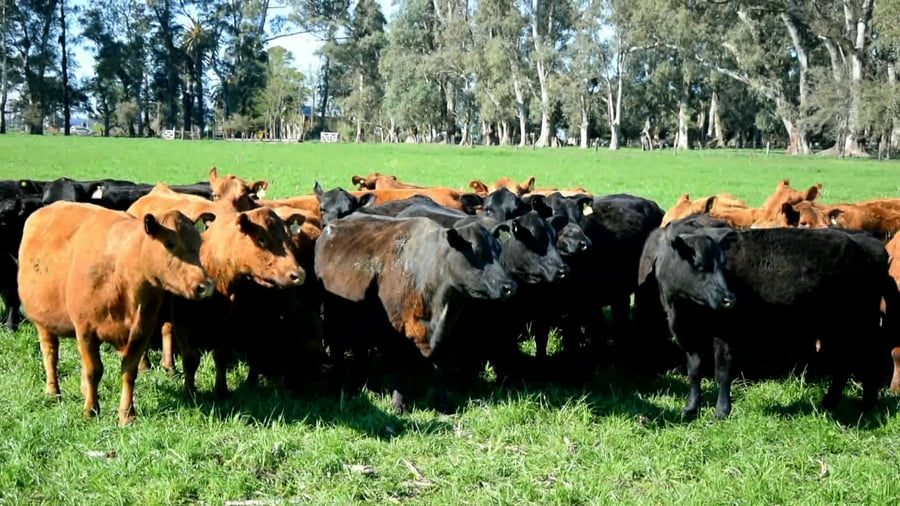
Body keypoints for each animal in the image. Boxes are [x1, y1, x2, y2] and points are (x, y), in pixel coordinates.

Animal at [17, 201, 215, 425]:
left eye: (199, 243)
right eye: (170, 243)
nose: (206, 285)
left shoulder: (142, 330)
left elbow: (129, 371)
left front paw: (127, 414)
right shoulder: (86, 330)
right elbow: (94, 370)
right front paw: (90, 410)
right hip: (43, 322)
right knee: (50, 354)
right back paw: (53, 391)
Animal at [314, 213, 517, 414]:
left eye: (499, 250)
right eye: (476, 252)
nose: (510, 286)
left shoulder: (444, 334)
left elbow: (439, 369)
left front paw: (442, 405)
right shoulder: (396, 333)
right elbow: (399, 370)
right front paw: (398, 405)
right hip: (333, 320)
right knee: (337, 350)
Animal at [638, 220, 892, 418]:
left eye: (722, 264)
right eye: (700, 265)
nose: (730, 299)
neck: (682, 308)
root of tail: (869, 240)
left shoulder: (725, 332)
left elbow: (723, 371)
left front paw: (721, 411)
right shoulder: (688, 334)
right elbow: (694, 370)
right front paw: (690, 408)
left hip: (859, 323)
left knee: (868, 358)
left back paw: (866, 404)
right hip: (836, 327)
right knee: (844, 362)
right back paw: (832, 402)